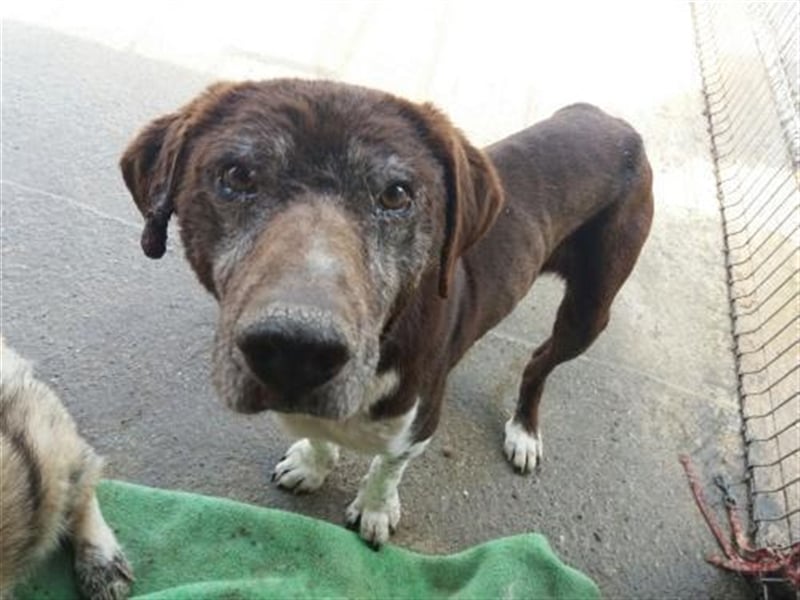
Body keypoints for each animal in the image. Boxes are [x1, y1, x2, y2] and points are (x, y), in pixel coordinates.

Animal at [120, 79, 653, 546]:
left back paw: (523, 431)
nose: (295, 350)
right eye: (237, 176)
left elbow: (386, 468)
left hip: (591, 310)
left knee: (540, 361)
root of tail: (616, 122)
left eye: (396, 194)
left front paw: (375, 510)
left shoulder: (418, 422)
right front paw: (312, 465)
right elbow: (318, 436)